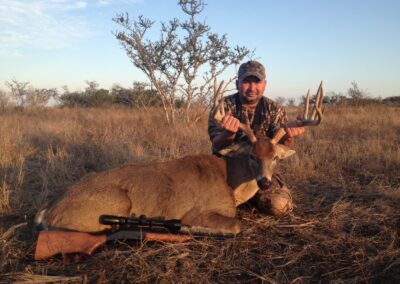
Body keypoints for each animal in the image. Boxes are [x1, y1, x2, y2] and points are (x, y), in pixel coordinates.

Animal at [33, 81, 322, 234]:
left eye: (275, 157)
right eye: (251, 155)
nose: (265, 182)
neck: (230, 182)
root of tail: (48, 209)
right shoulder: (201, 210)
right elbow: (236, 225)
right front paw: (190, 228)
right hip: (113, 205)